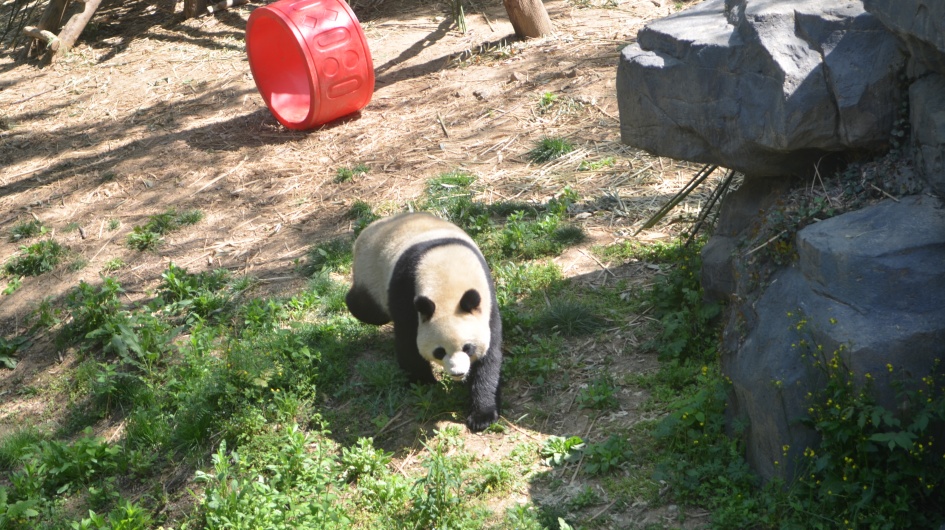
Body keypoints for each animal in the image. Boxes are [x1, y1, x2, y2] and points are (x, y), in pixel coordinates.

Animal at [345, 212, 502, 432]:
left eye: (468, 348)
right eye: (440, 351)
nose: (458, 373)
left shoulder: (487, 303)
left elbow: (489, 357)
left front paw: (482, 415)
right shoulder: (406, 290)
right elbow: (408, 341)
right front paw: (424, 382)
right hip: (371, 272)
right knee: (366, 309)